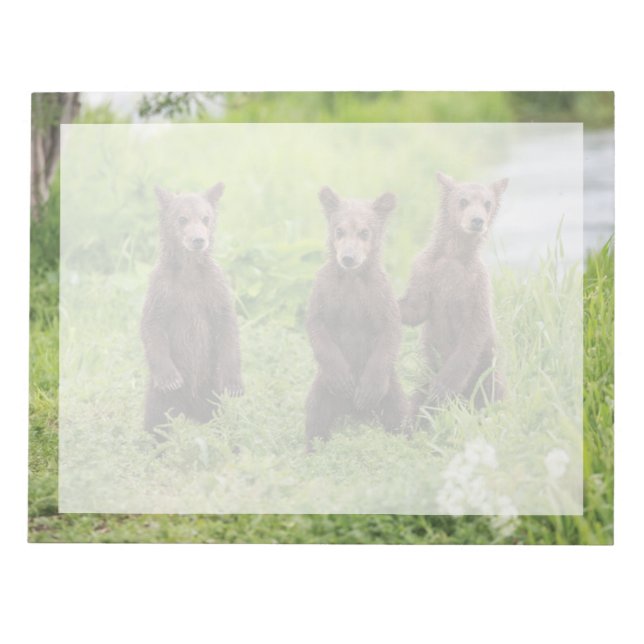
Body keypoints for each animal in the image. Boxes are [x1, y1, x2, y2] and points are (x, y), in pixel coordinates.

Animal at [141, 182, 243, 437]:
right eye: (182, 218)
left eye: (206, 218)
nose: (198, 239)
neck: (188, 271)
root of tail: (188, 410)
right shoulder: (163, 288)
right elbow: (152, 325)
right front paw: (171, 378)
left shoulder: (213, 287)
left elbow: (227, 324)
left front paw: (235, 384)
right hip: (160, 397)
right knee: (156, 421)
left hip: (211, 390)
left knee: (219, 420)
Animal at [304, 186, 407, 449]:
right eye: (339, 230)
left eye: (364, 232)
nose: (348, 257)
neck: (352, 279)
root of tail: (353, 414)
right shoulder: (325, 291)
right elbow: (317, 326)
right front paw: (343, 379)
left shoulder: (378, 296)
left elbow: (390, 331)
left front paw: (367, 391)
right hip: (322, 387)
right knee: (315, 413)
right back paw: (313, 446)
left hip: (392, 387)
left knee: (398, 413)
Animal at [398, 172, 509, 418]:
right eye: (463, 200)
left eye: (487, 203)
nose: (477, 220)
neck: (454, 254)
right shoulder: (426, 270)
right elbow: (417, 308)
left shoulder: (475, 284)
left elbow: (473, 332)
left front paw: (443, 387)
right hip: (426, 371)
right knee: (417, 398)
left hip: (486, 370)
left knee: (491, 390)